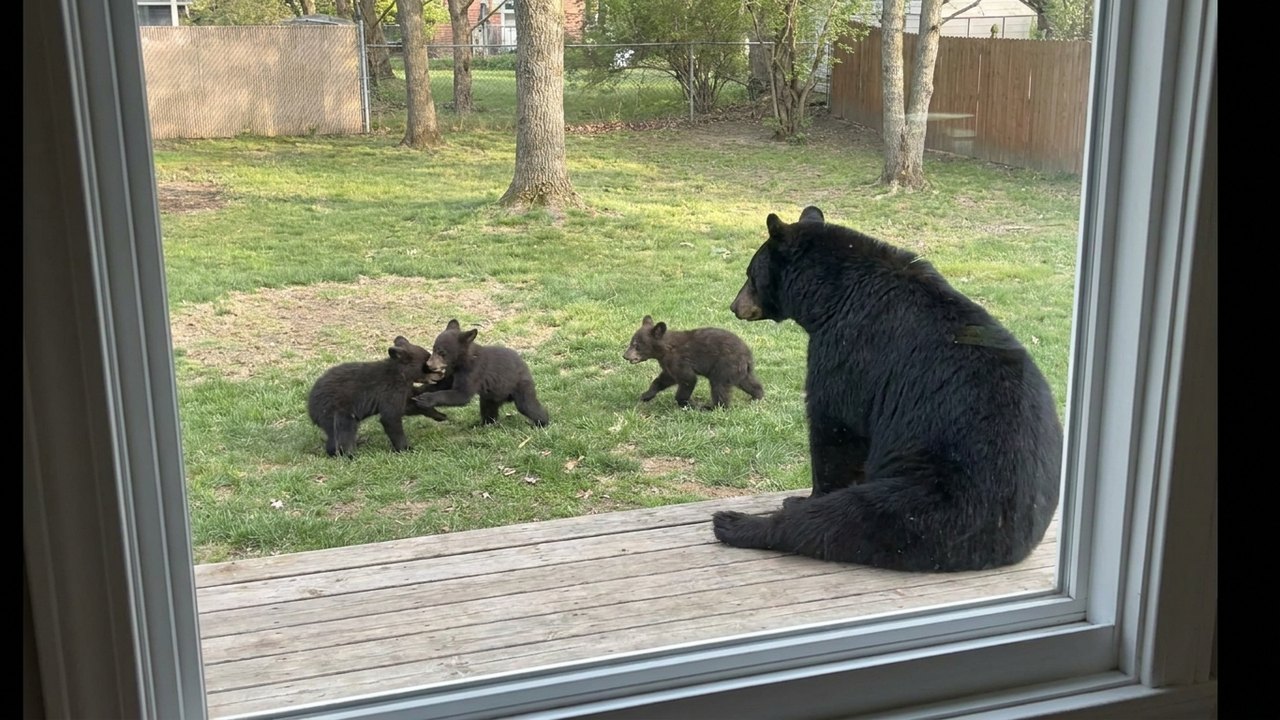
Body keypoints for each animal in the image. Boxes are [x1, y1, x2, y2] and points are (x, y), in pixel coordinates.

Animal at [307, 336, 442, 458]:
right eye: (428, 366)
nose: (441, 375)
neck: (401, 374)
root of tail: (311, 409)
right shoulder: (391, 390)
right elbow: (390, 417)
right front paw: (406, 449)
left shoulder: (402, 391)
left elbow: (409, 406)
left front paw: (440, 415)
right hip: (336, 412)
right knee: (343, 433)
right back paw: (349, 455)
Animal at [412, 319, 550, 428]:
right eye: (434, 349)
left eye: (442, 353)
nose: (429, 364)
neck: (461, 361)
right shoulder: (453, 372)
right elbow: (443, 384)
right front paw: (418, 391)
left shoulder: (473, 372)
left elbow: (461, 394)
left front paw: (426, 399)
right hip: (491, 396)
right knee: (488, 409)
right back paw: (484, 424)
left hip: (521, 385)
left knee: (528, 406)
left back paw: (541, 423)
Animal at [623, 315, 764, 410]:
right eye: (632, 342)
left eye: (636, 345)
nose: (625, 356)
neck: (666, 349)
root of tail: (748, 356)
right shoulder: (668, 365)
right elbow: (665, 378)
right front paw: (646, 395)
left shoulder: (678, 360)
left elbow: (688, 379)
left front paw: (687, 404)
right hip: (739, 371)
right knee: (748, 383)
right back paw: (757, 396)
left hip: (725, 366)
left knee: (719, 387)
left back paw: (712, 408)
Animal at [712, 206, 1062, 572]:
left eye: (750, 274)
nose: (734, 306)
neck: (832, 293)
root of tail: (1015, 544)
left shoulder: (848, 349)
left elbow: (836, 427)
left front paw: (812, 491)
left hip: (937, 498)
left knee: (842, 520)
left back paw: (738, 522)